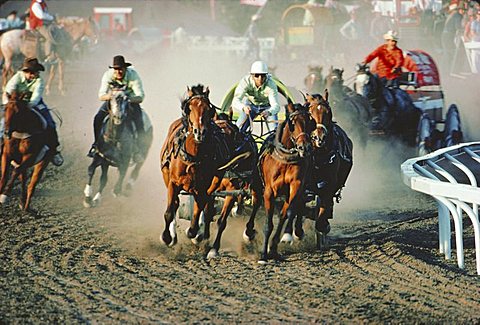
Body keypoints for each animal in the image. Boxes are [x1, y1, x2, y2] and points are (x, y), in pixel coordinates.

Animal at [159, 83, 231, 246]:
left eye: (209, 109)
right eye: (189, 108)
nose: (200, 132)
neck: (194, 156)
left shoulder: (203, 189)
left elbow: (197, 213)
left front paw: (193, 232)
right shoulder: (173, 182)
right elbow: (169, 211)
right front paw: (166, 237)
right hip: (166, 176)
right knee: (175, 204)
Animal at [256, 100, 316, 262]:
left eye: (310, 122)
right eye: (292, 123)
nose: (305, 147)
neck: (285, 159)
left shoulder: (296, 185)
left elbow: (289, 212)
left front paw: (286, 237)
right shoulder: (269, 191)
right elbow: (268, 224)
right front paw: (263, 255)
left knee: (289, 212)